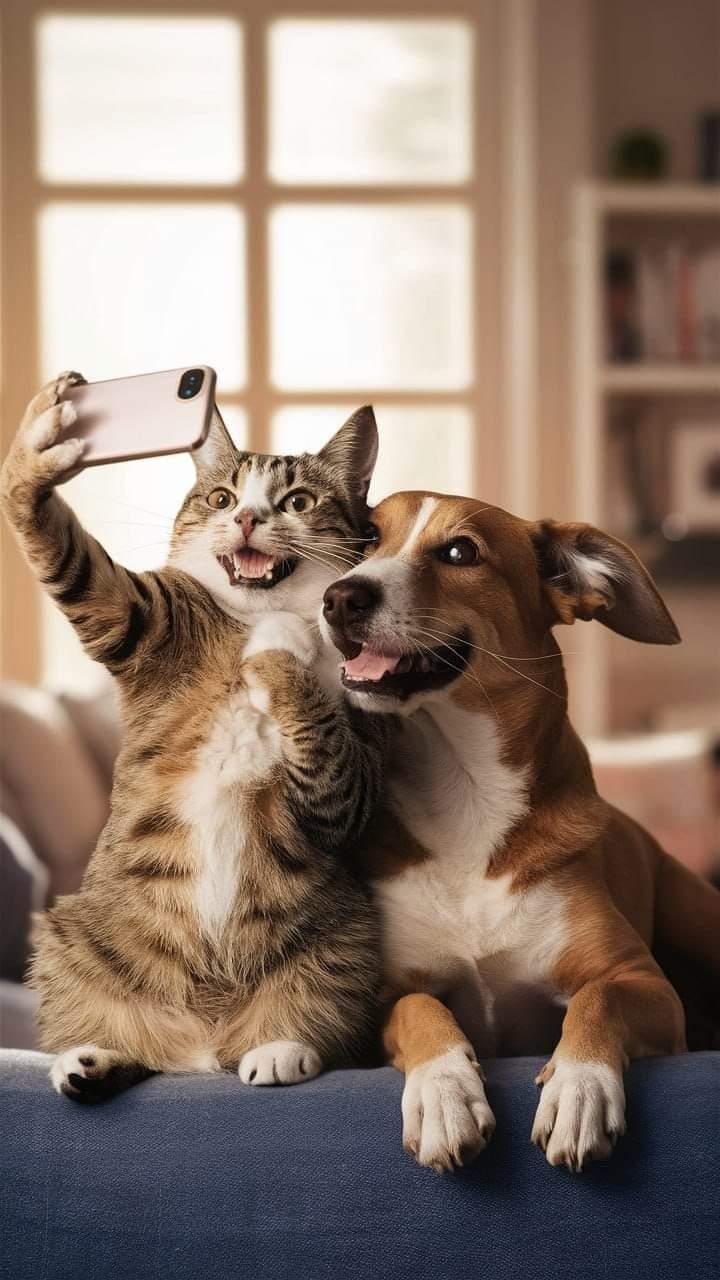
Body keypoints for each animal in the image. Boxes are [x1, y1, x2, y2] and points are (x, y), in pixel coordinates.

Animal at [1, 371, 386, 1100]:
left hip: (346, 938)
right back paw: (90, 1059)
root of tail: (203, 1049)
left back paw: (280, 1048)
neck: (253, 613)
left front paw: (286, 645)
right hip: (70, 936)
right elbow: (74, 562)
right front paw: (41, 443)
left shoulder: (356, 771)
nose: (246, 519)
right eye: (221, 497)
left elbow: (333, 770)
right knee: (113, 1031)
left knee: (319, 1008)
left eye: (296, 501)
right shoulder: (136, 616)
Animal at [319, 488, 717, 1172]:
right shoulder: (386, 998)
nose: (341, 596)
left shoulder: (645, 984)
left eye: (460, 552)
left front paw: (581, 1087)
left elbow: (596, 998)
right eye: (367, 536)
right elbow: (420, 1008)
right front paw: (444, 1092)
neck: (465, 794)